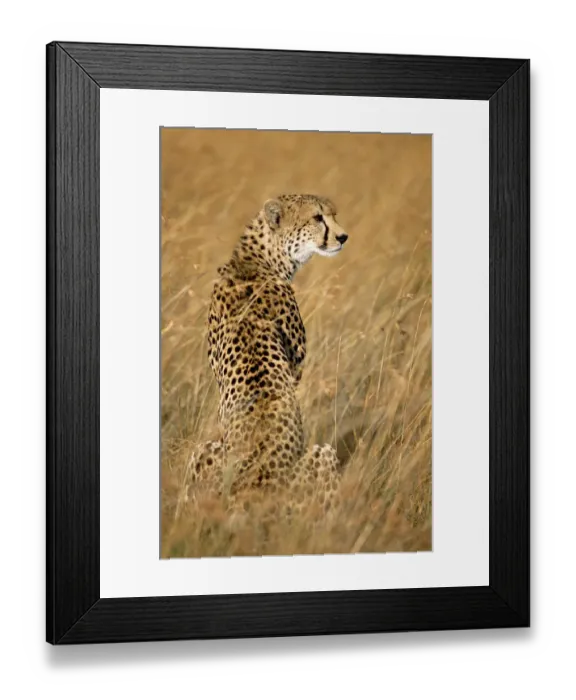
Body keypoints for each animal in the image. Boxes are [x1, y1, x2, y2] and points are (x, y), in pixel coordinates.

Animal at [185, 194, 349, 521]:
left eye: (333, 215)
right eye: (317, 218)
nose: (342, 237)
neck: (256, 258)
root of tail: (254, 490)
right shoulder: (295, 363)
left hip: (202, 451)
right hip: (322, 455)